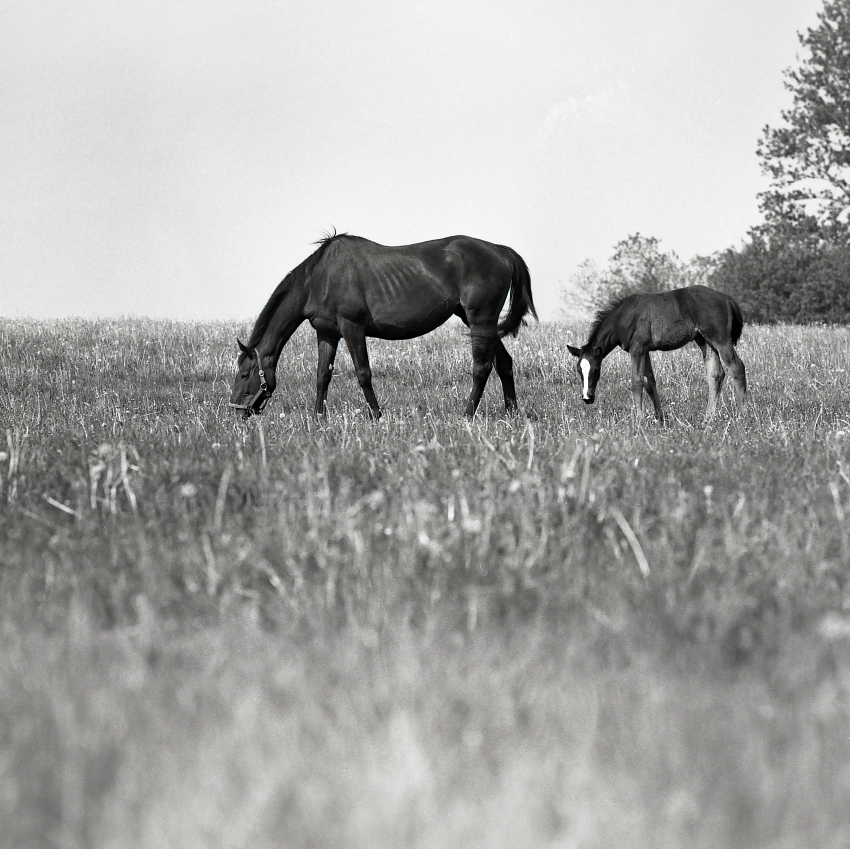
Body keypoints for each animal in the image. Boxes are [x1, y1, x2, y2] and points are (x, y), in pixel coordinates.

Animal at [230, 232, 536, 418]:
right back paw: (511, 414)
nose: (237, 410)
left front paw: (376, 417)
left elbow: (363, 373)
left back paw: (467, 415)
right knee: (504, 362)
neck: (320, 277)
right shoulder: (327, 334)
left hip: (480, 320)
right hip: (480, 323)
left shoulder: (351, 328)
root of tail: (500, 251)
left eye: (245, 374)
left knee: (482, 368)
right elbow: (321, 377)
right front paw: (318, 420)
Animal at [568, 286, 744, 422]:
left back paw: (743, 415)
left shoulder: (637, 349)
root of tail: (725, 297)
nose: (587, 398)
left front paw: (639, 420)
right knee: (716, 375)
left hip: (720, 340)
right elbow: (650, 382)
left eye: (596, 370)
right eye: (578, 370)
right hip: (705, 342)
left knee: (737, 367)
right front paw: (660, 419)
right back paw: (708, 419)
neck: (624, 316)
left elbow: (637, 382)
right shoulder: (645, 351)